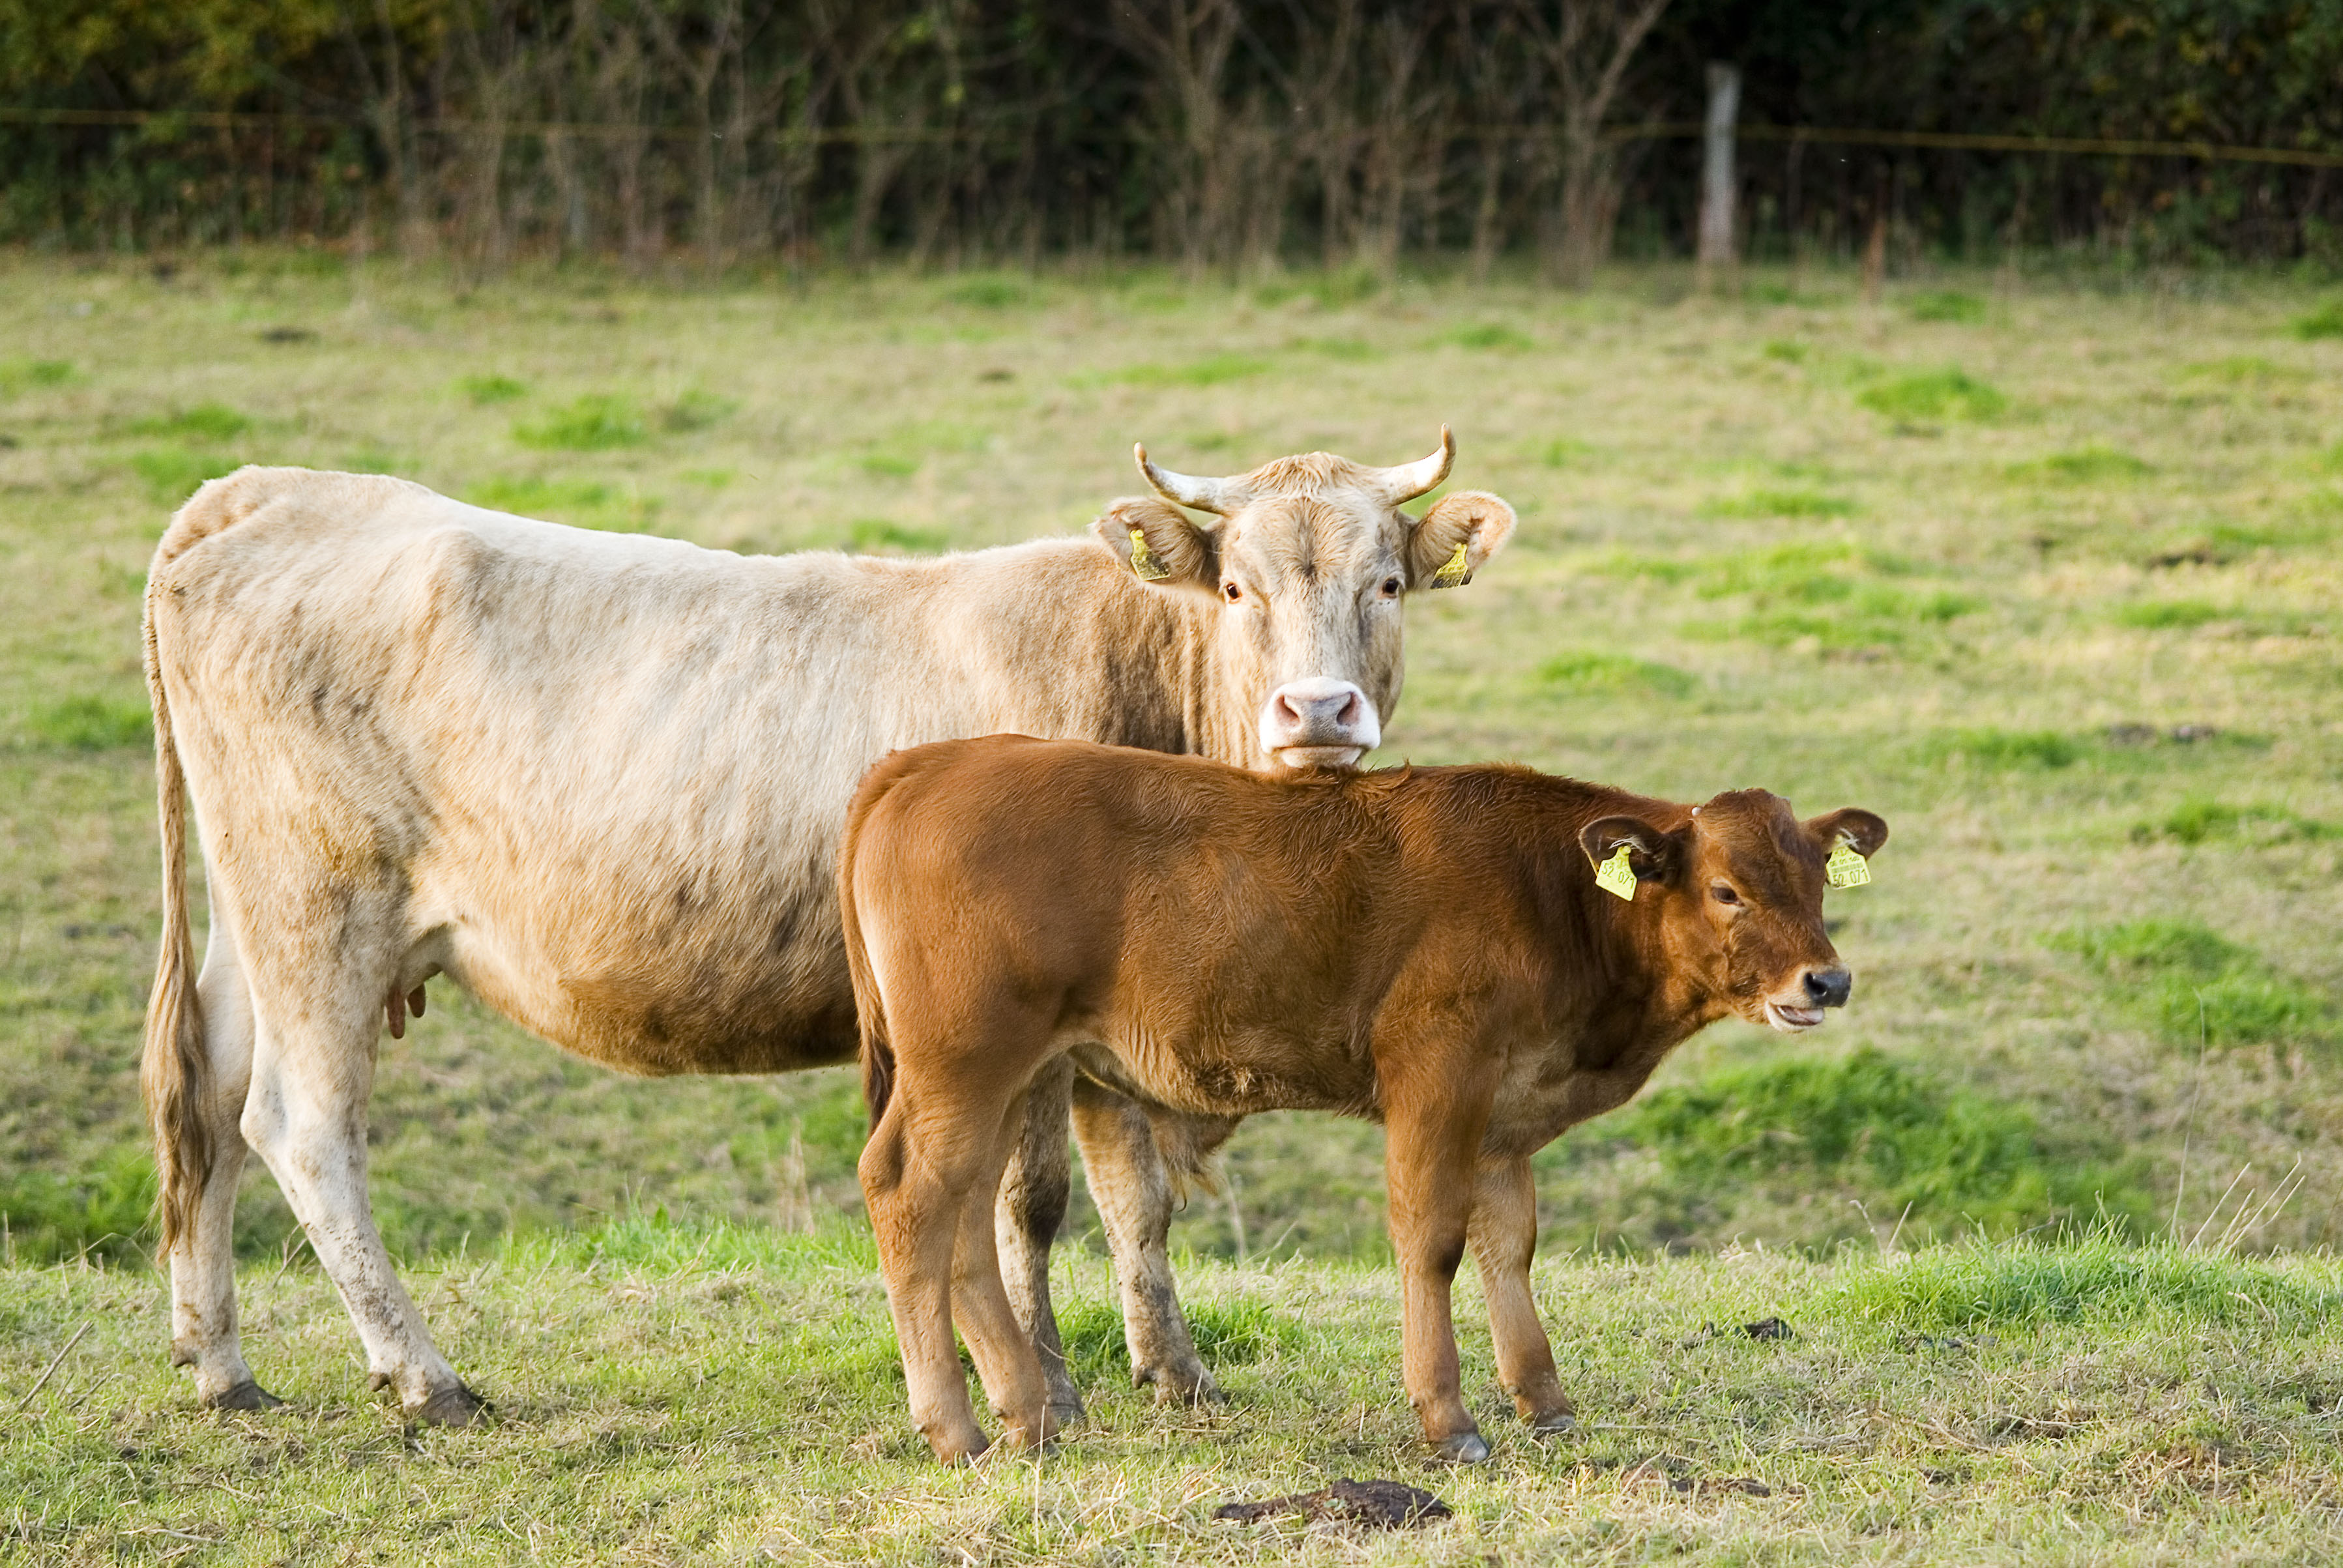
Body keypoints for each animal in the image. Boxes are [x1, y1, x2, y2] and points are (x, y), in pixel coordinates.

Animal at [141, 438, 1518, 1416]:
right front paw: (1050, 1382)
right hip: (321, 909)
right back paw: (427, 1380)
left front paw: (1173, 1372)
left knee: (204, 1100)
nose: (1318, 710)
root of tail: (272, 491)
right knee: (301, 1126)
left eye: (1387, 582)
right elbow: (1031, 1200)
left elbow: (1135, 1194)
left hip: (250, 922)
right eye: (1237, 586)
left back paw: (222, 1366)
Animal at [843, 740, 1884, 1462]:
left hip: (1006, 1077)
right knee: (908, 1194)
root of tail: (930, 760)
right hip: (966, 1062)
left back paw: (1025, 1415)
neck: (1553, 895)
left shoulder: (1505, 1111)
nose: (1826, 980)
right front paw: (1448, 1419)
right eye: (1726, 889)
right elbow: (1432, 1239)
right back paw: (955, 1428)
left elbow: (1509, 1244)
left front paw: (1543, 1402)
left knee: (966, 1216)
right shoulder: (1437, 1074)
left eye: (1817, 883)